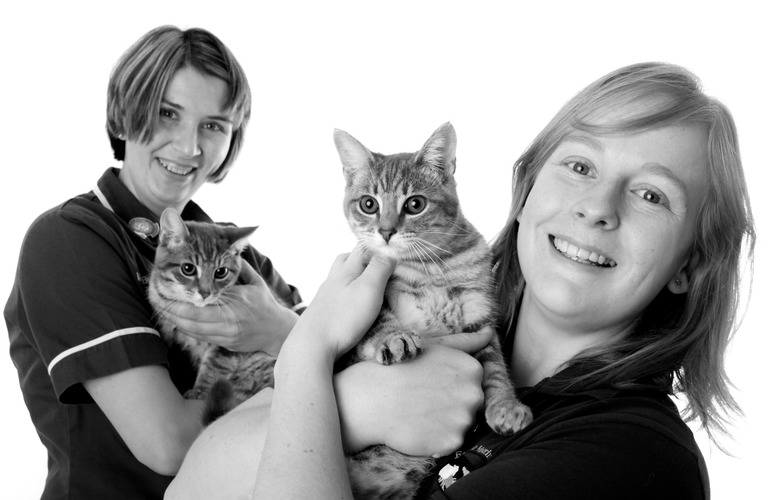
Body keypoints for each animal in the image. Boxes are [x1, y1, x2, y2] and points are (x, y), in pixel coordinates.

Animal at [147, 209, 276, 424]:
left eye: (221, 272)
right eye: (188, 268)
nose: (205, 292)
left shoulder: (229, 345)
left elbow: (215, 366)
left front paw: (200, 391)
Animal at [336, 122, 536, 500]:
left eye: (415, 204)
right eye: (368, 204)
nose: (386, 231)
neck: (431, 268)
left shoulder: (480, 318)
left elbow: (496, 368)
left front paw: (505, 405)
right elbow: (377, 320)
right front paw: (394, 337)